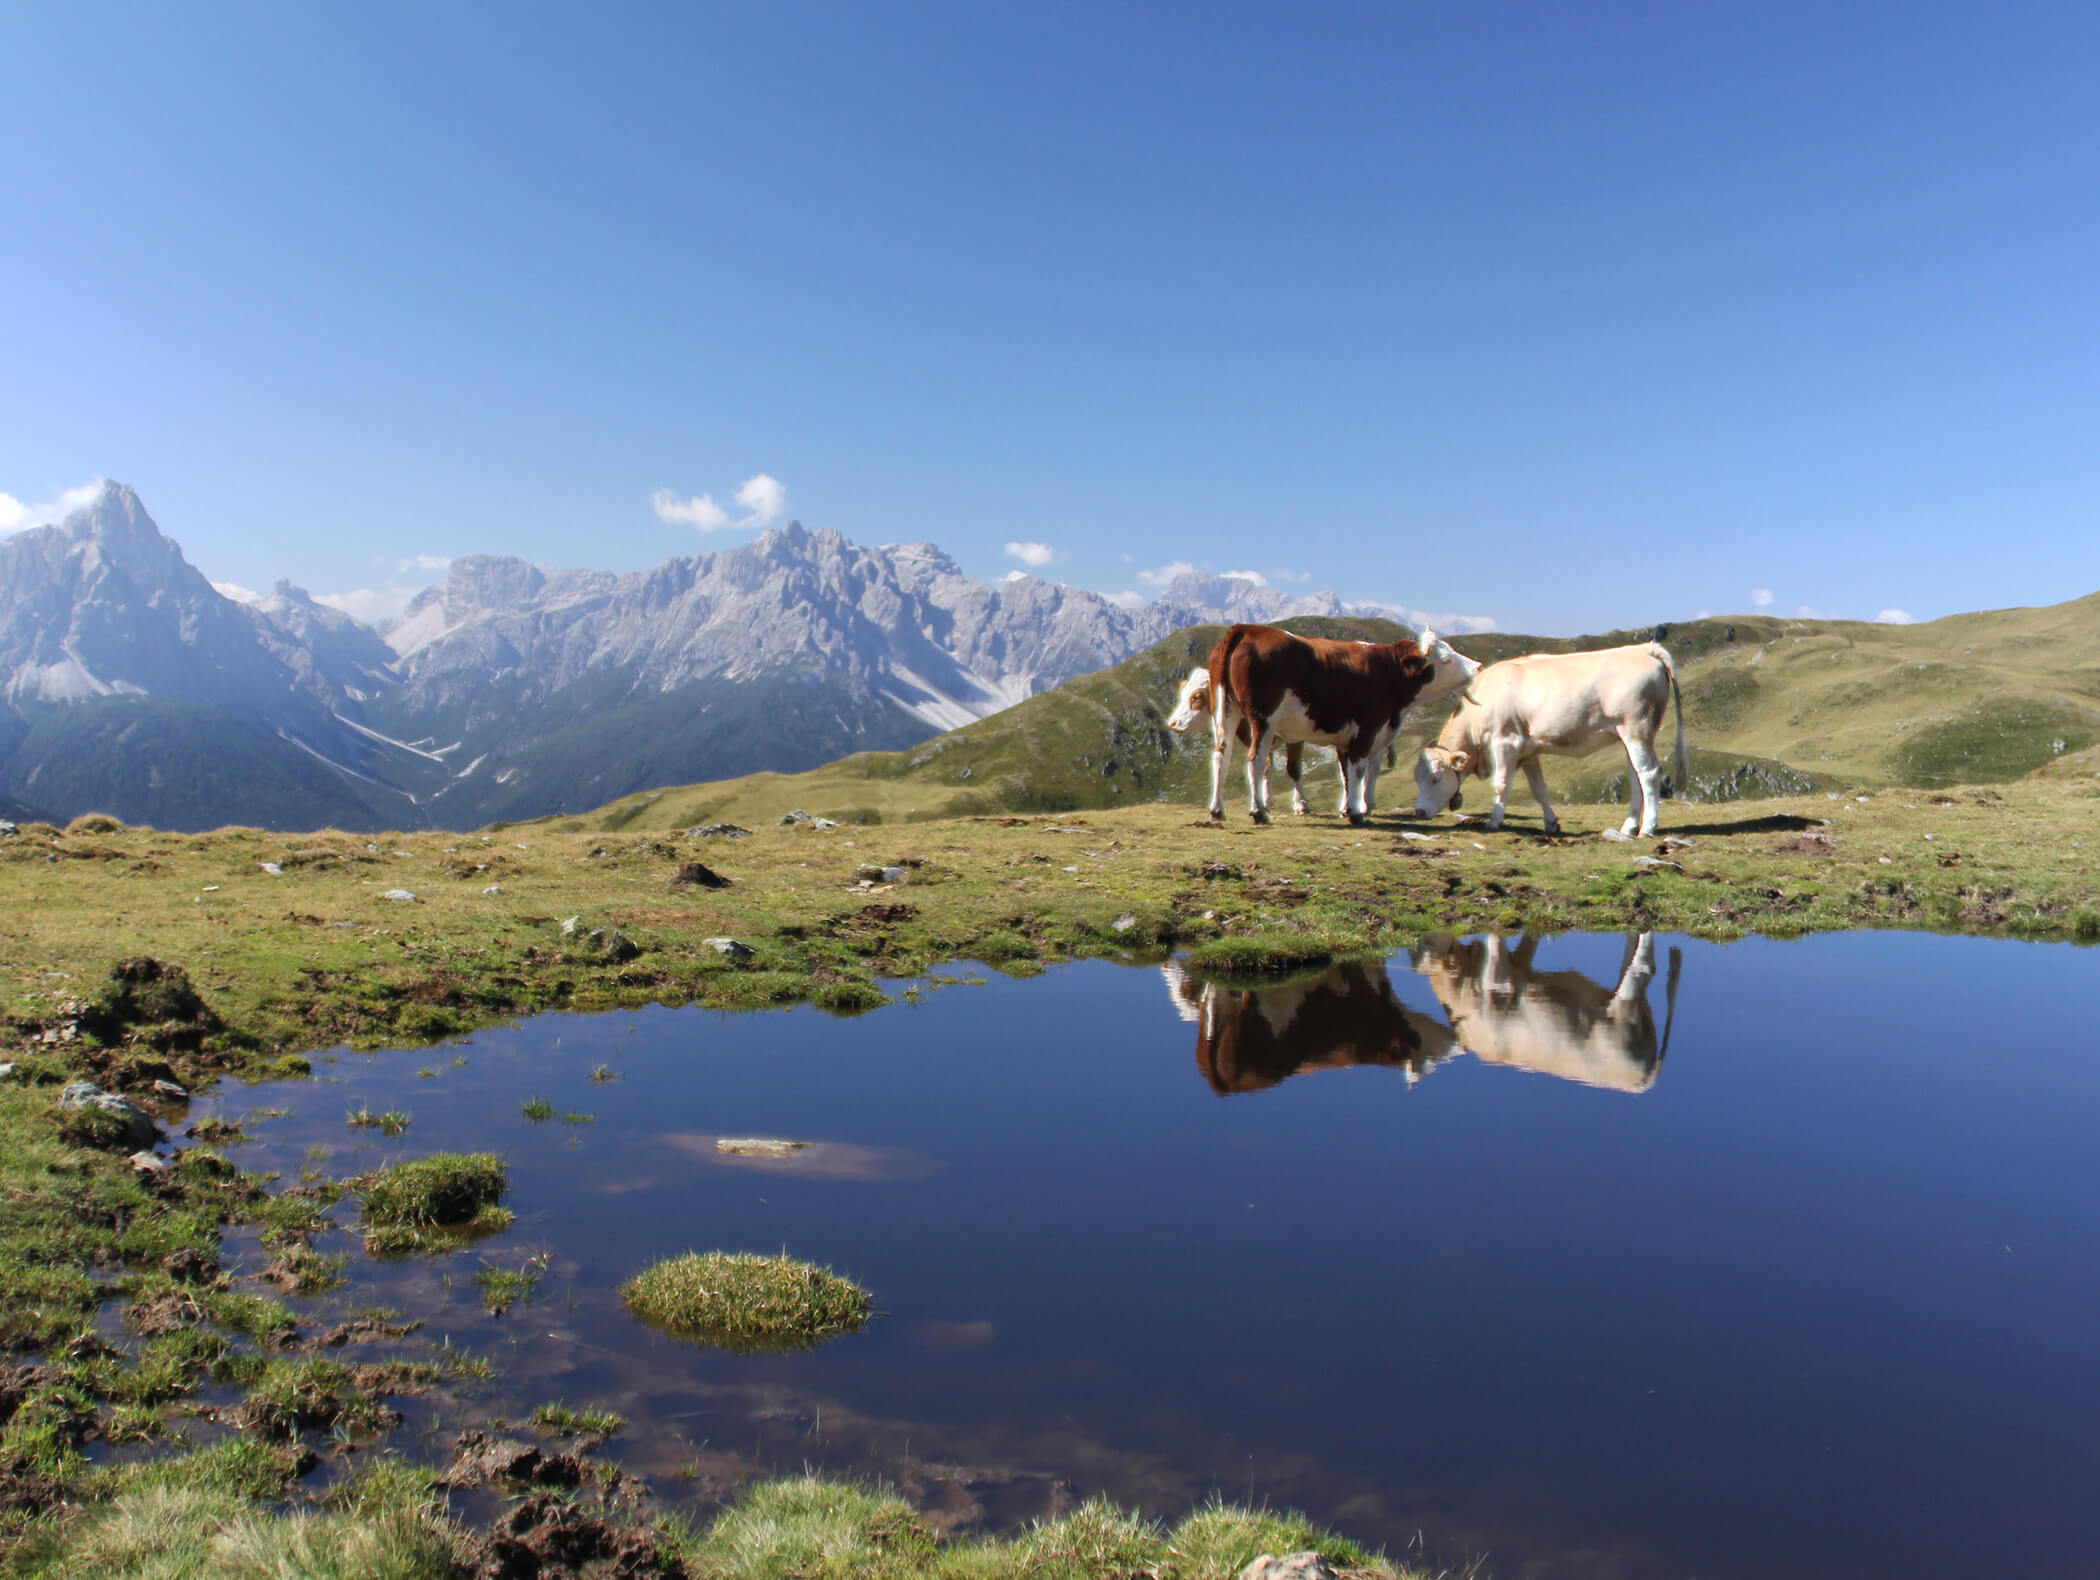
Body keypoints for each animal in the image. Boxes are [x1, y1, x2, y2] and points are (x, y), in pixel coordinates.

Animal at [1198, 626, 1480, 825]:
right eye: (1446, 659)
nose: (1477, 666)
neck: (1388, 672)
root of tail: (1246, 629)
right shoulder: (1366, 730)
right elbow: (1358, 770)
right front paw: (1356, 812)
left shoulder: (1346, 736)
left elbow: (1346, 773)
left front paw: (1346, 808)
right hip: (1263, 720)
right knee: (1255, 760)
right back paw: (1258, 811)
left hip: (1227, 714)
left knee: (1221, 757)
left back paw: (1217, 810)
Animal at [1411, 642, 1687, 837]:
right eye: (1418, 778)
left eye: (1436, 778)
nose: (1418, 811)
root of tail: (1644, 648)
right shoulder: (1528, 751)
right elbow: (1539, 789)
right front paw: (1551, 822)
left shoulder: (1505, 741)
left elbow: (1501, 783)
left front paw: (1494, 821)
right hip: (1629, 736)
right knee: (1635, 776)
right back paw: (1628, 827)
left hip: (1637, 729)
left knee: (1649, 773)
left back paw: (1647, 828)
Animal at [1411, 931, 1682, 1094]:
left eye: (1425, 944)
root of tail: (1642, 1082)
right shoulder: (1519, 964)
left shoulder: (1498, 982)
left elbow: (1496, 941)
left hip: (1624, 1016)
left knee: (1643, 967)